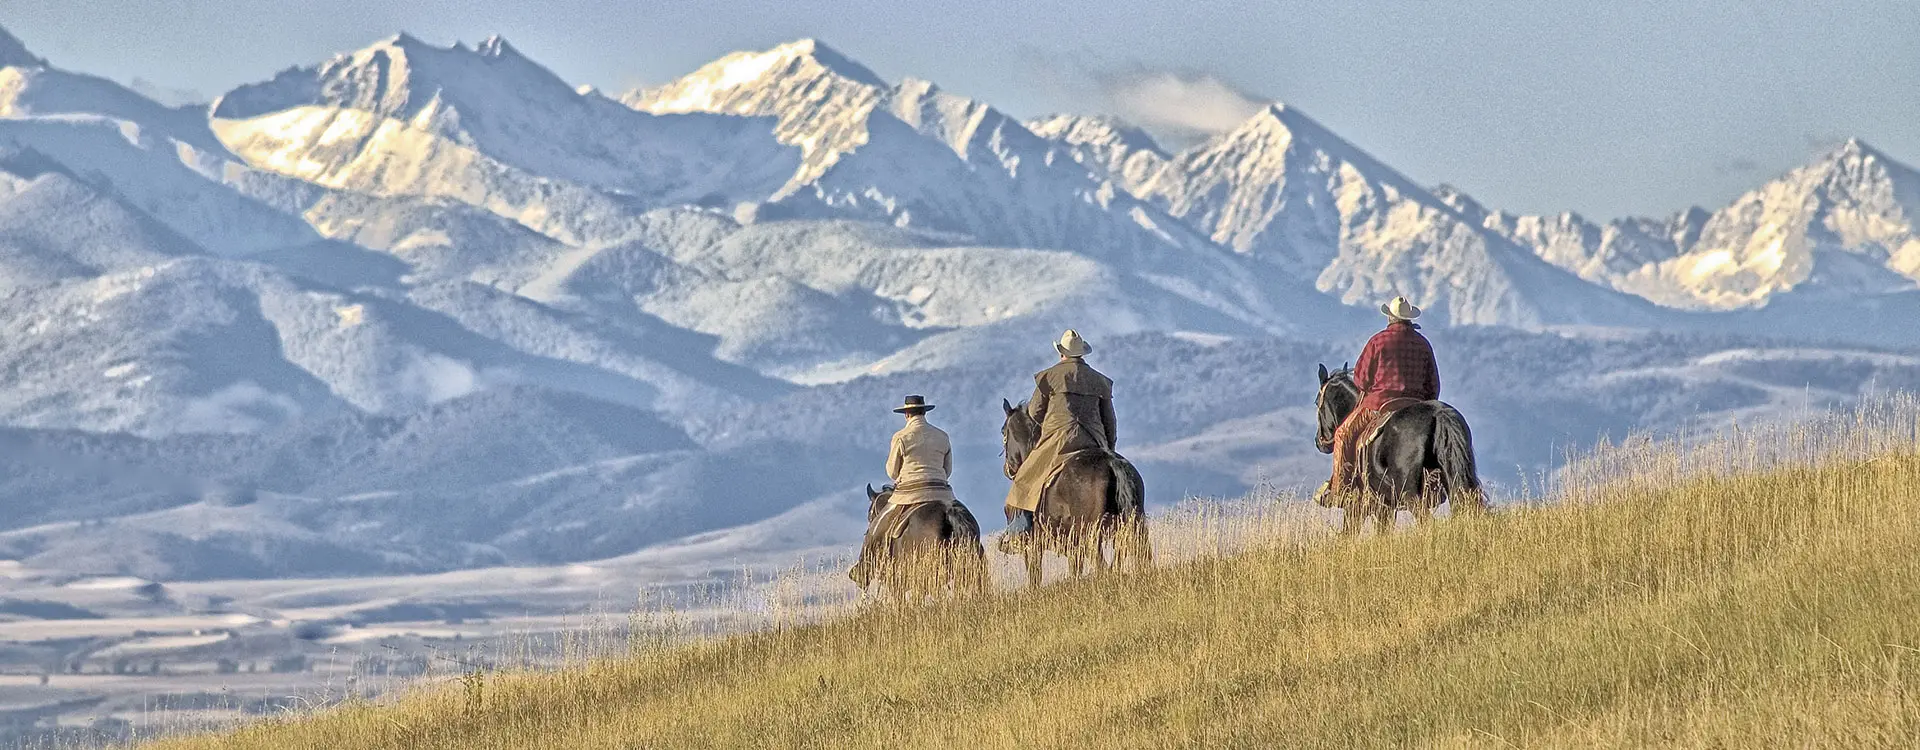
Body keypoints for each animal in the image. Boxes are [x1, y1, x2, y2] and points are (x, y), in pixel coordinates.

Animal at [1000, 399, 1151, 587]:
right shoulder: (1073, 547)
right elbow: (1074, 572)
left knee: (1101, 565)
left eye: (1003, 432)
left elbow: (1035, 578)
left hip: (1091, 535)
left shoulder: (1033, 546)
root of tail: (1111, 462)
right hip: (1130, 528)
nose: (1008, 469)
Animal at [1314, 363, 1486, 535]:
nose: (1319, 441)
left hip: (1411, 494)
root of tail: (1438, 413)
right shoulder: (1385, 506)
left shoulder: (1357, 506)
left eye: (1317, 402)